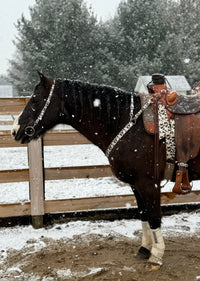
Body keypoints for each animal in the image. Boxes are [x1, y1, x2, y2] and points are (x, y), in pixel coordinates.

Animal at [11, 71, 200, 270]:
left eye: (35, 100)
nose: (15, 130)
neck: (130, 123)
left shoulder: (148, 183)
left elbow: (154, 217)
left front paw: (156, 255)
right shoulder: (136, 184)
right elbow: (143, 215)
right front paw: (144, 248)